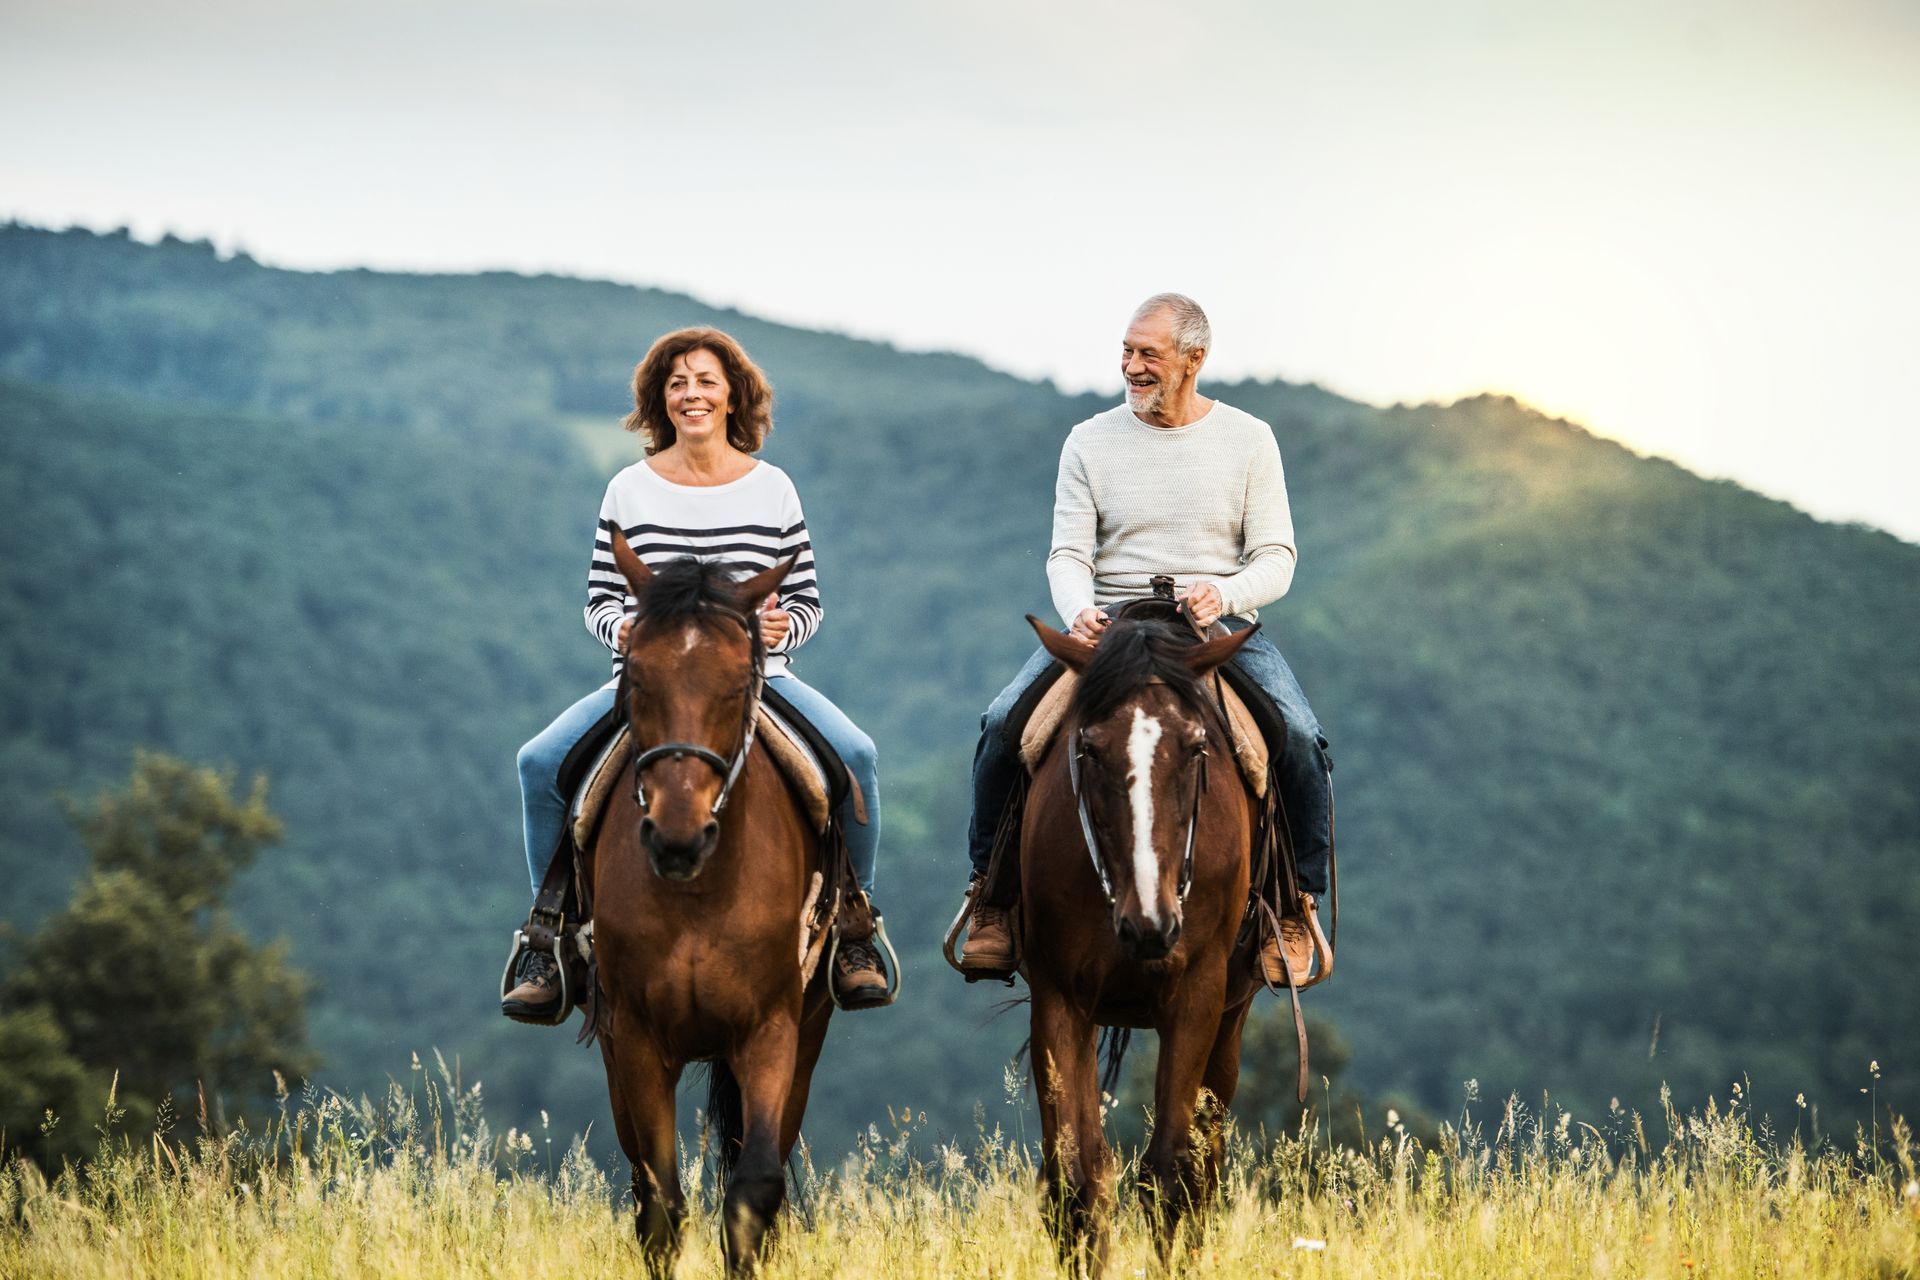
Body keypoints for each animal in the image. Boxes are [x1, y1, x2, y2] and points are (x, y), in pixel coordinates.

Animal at [591, 537, 833, 1274]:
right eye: (639, 681)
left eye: (734, 687)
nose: (678, 836)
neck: (700, 890)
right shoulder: (637, 1038)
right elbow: (661, 1205)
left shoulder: (770, 1031)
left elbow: (753, 1188)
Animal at [1029, 610, 1267, 1274]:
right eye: (1088, 748)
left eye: (1197, 748)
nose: (1150, 925)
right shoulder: (1059, 998)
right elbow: (1077, 1180)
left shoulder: (1197, 996)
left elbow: (1170, 1174)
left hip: (1232, 1019)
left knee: (1206, 1166)